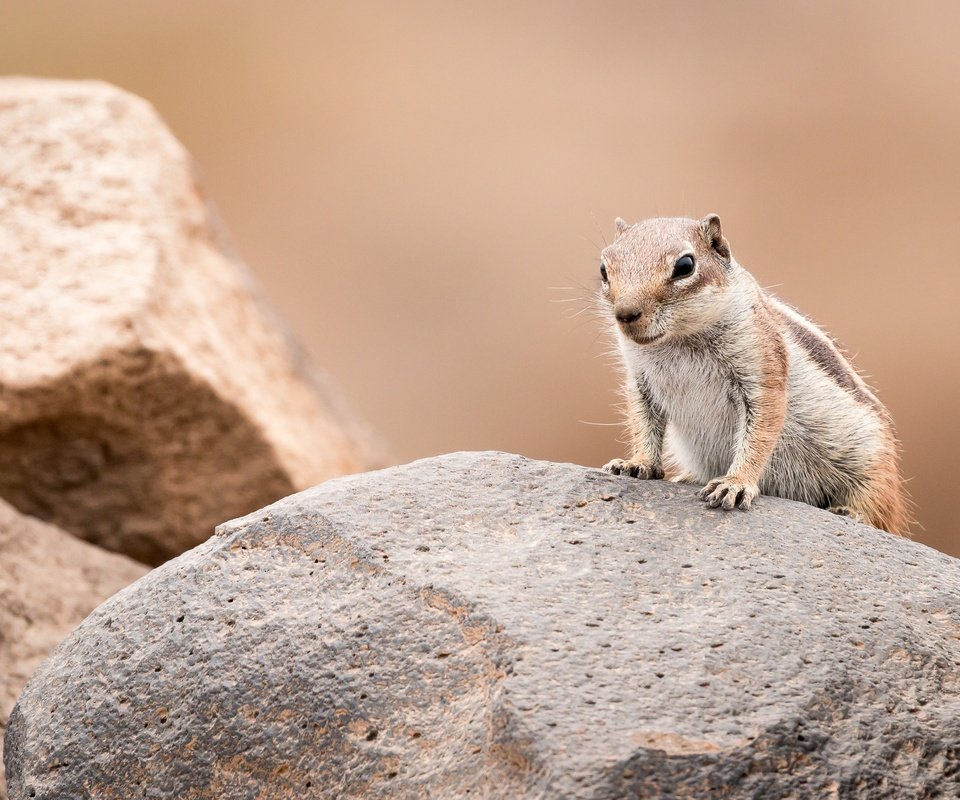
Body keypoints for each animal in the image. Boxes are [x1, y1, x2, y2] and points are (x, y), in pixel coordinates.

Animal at [600, 216, 908, 536]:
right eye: (603, 269)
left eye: (685, 266)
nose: (625, 313)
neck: (681, 339)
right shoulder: (640, 382)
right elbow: (642, 421)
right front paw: (637, 463)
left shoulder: (761, 371)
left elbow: (759, 435)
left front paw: (734, 484)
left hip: (872, 464)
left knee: (877, 506)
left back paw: (850, 512)